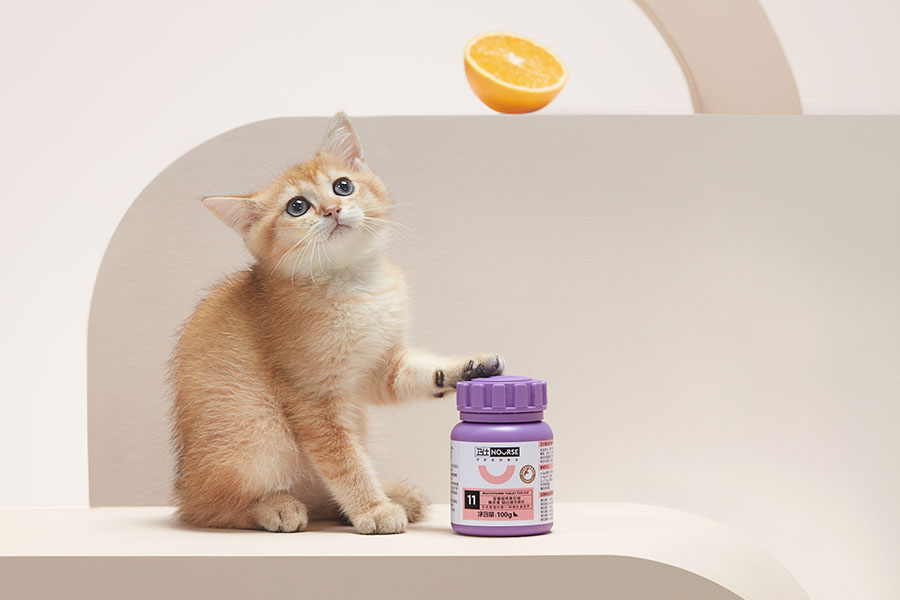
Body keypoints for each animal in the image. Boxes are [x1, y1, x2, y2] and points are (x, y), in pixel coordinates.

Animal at [171, 113, 504, 534]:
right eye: (297, 206)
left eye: (342, 186)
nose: (332, 210)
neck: (355, 283)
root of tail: (182, 485)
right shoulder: (311, 397)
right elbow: (344, 459)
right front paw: (372, 509)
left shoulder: (378, 370)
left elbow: (418, 373)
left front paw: (468, 368)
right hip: (258, 428)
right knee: (206, 508)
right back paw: (275, 506)